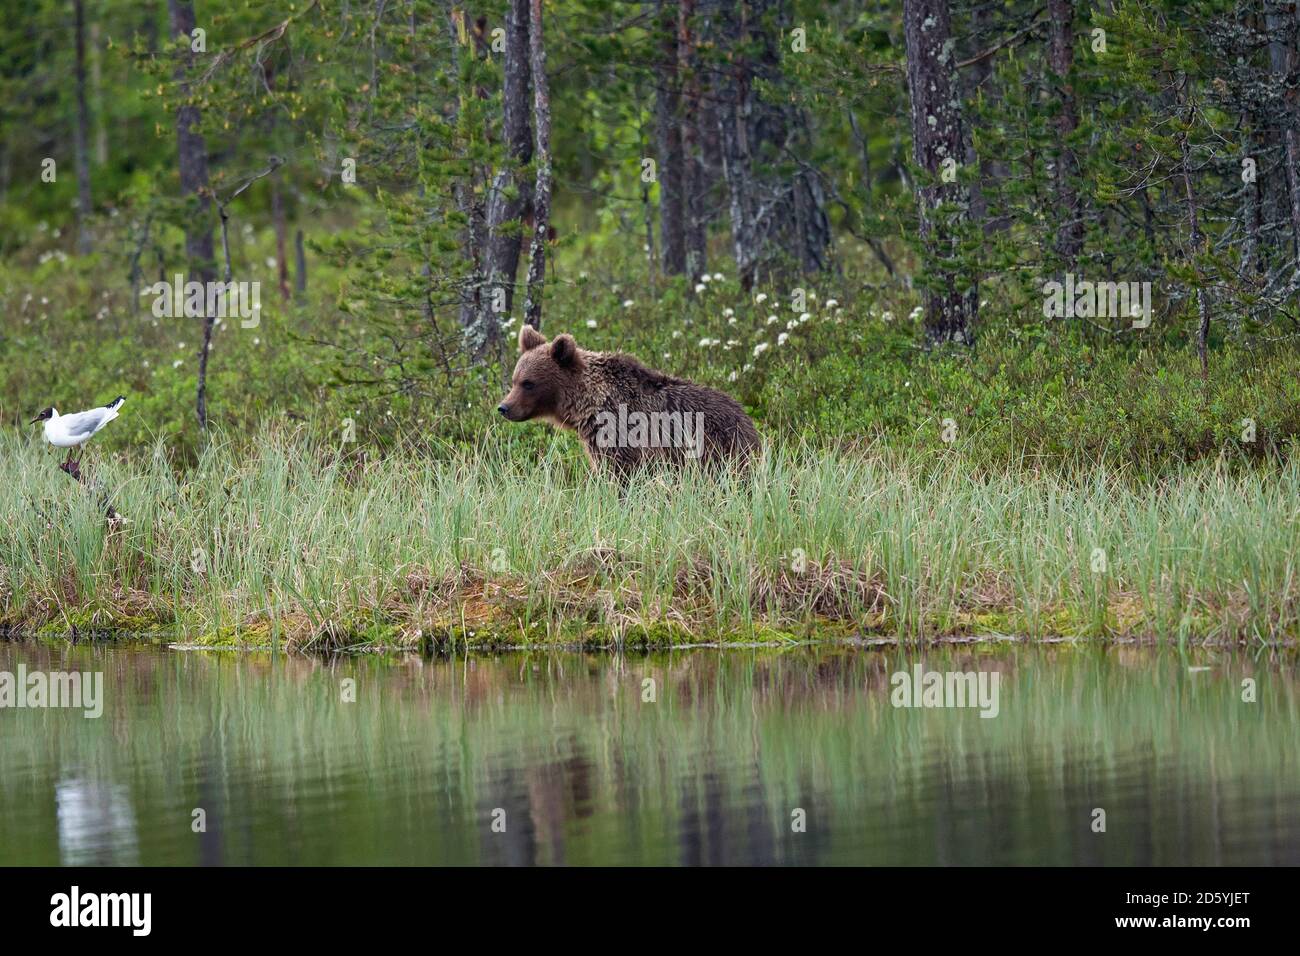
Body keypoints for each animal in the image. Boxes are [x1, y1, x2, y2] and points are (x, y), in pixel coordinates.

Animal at [496, 325, 759, 476]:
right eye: (515, 380)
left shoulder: (619, 434)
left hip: (717, 447)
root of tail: (747, 419)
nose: (504, 407)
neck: (588, 404)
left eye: (528, 383)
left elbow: (618, 474)